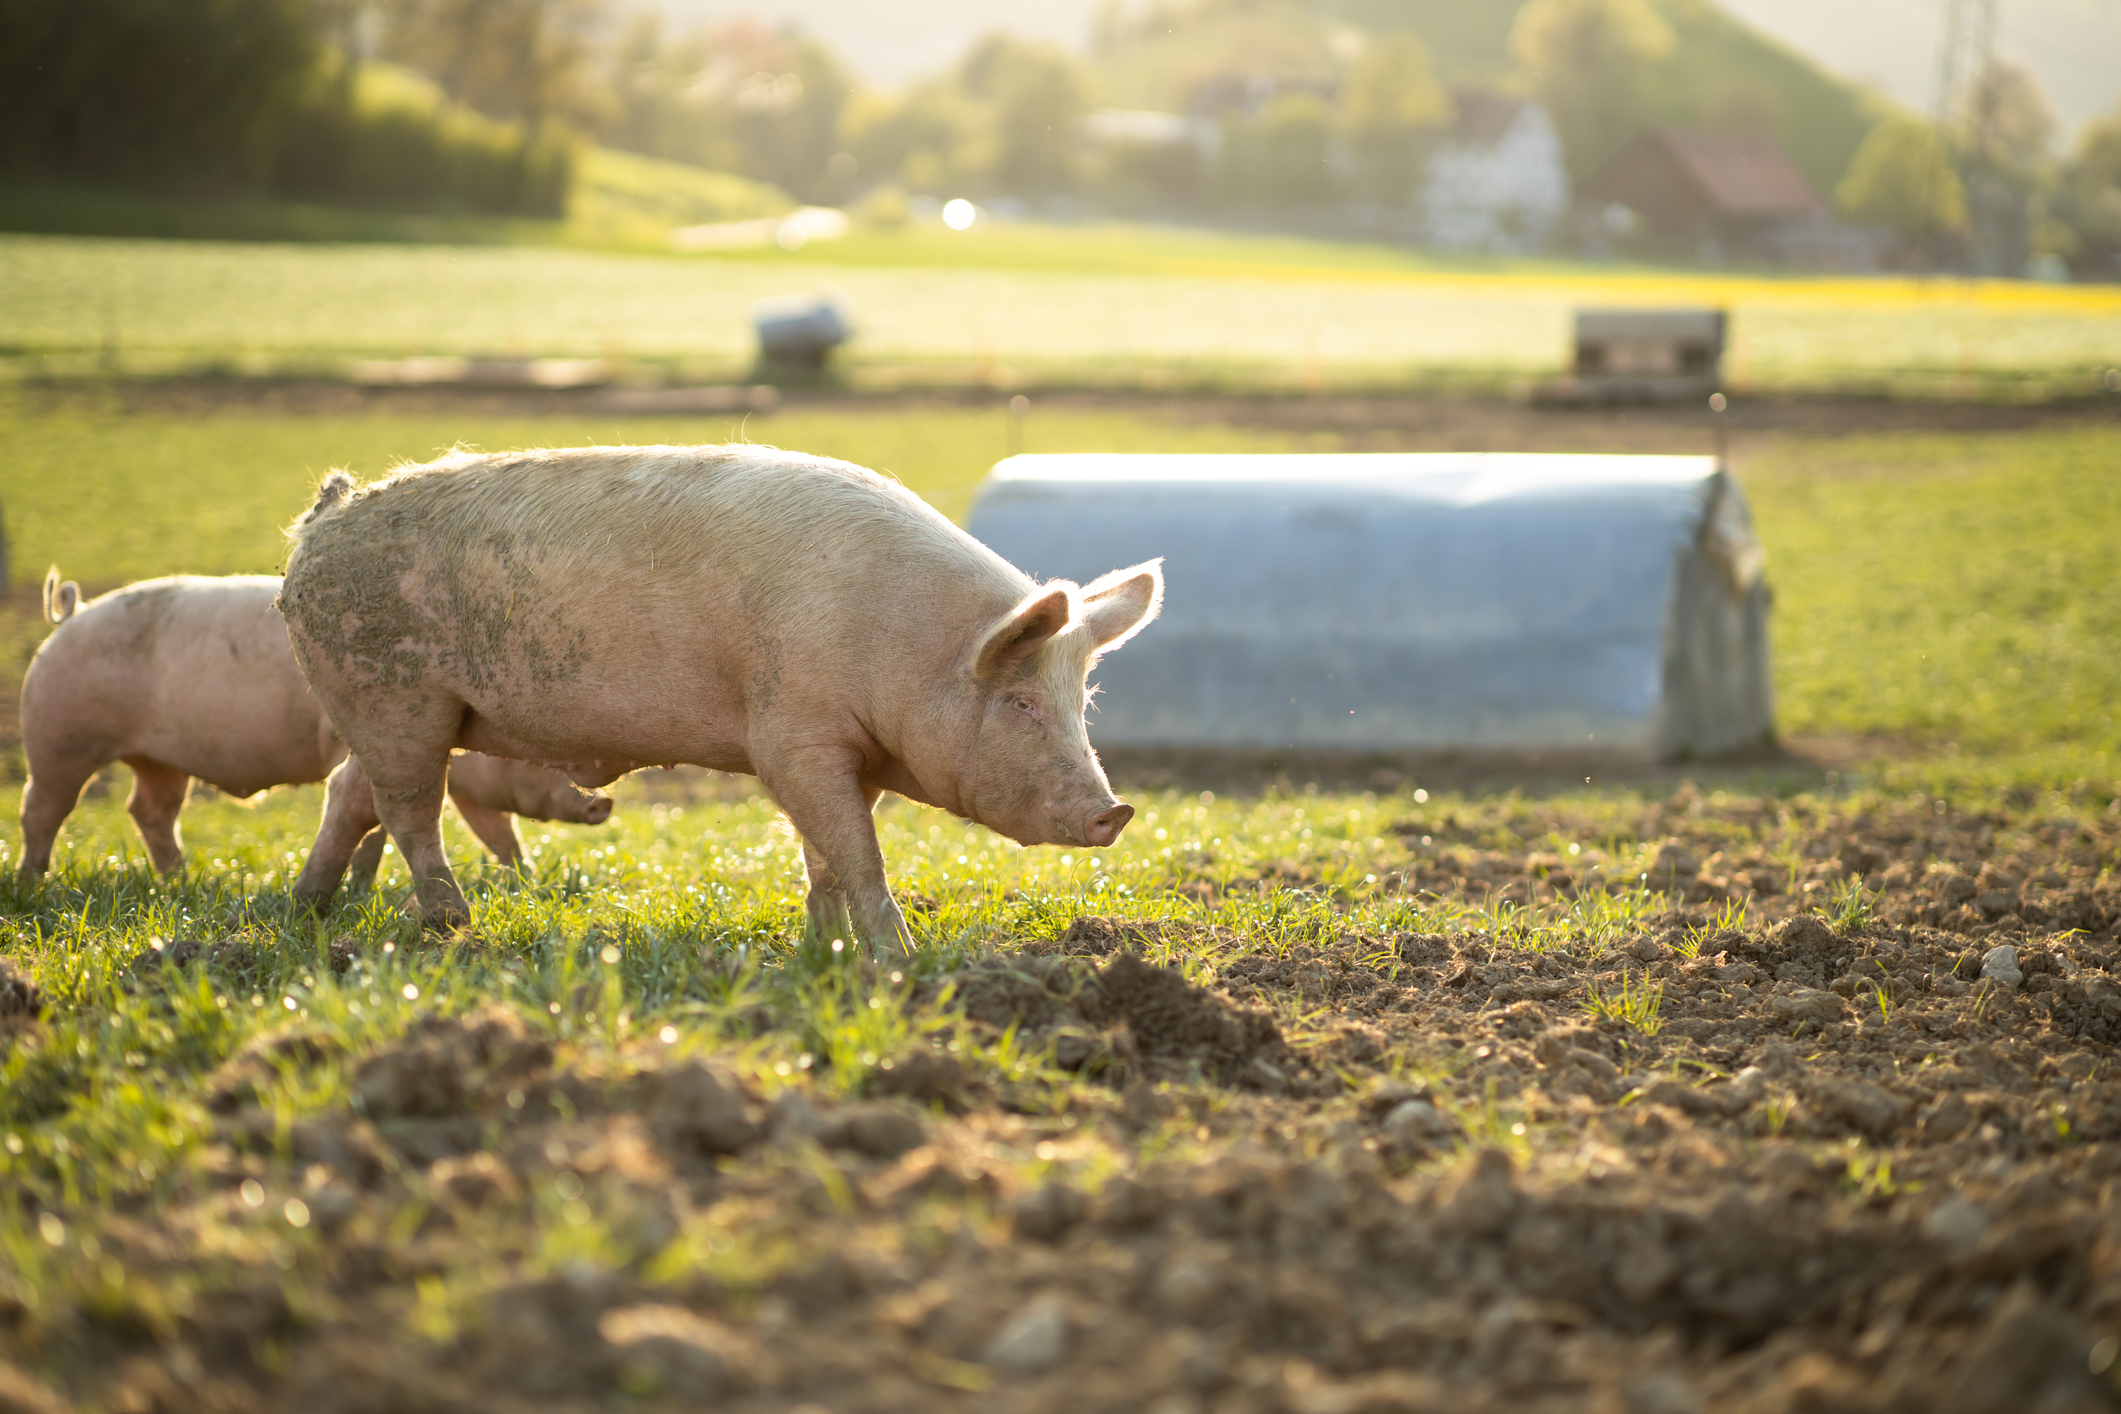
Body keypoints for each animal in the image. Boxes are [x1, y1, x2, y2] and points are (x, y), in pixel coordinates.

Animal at [16, 572, 615, 886]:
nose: (601, 804)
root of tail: (71, 614)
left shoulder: (469, 787)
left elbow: (497, 831)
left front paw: (527, 877)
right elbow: (375, 823)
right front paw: (362, 888)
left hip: (159, 760)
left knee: (149, 810)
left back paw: (180, 879)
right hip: (58, 738)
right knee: (42, 809)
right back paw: (32, 882)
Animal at [277, 445, 1162, 949]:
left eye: (1081, 701)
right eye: (1020, 703)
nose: (1113, 810)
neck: (907, 650)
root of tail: (321, 521)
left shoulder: (847, 755)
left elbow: (826, 855)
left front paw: (824, 950)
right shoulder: (792, 737)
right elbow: (858, 852)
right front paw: (896, 962)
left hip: (399, 712)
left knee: (352, 794)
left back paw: (311, 908)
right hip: (394, 697)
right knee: (408, 809)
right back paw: (451, 926)